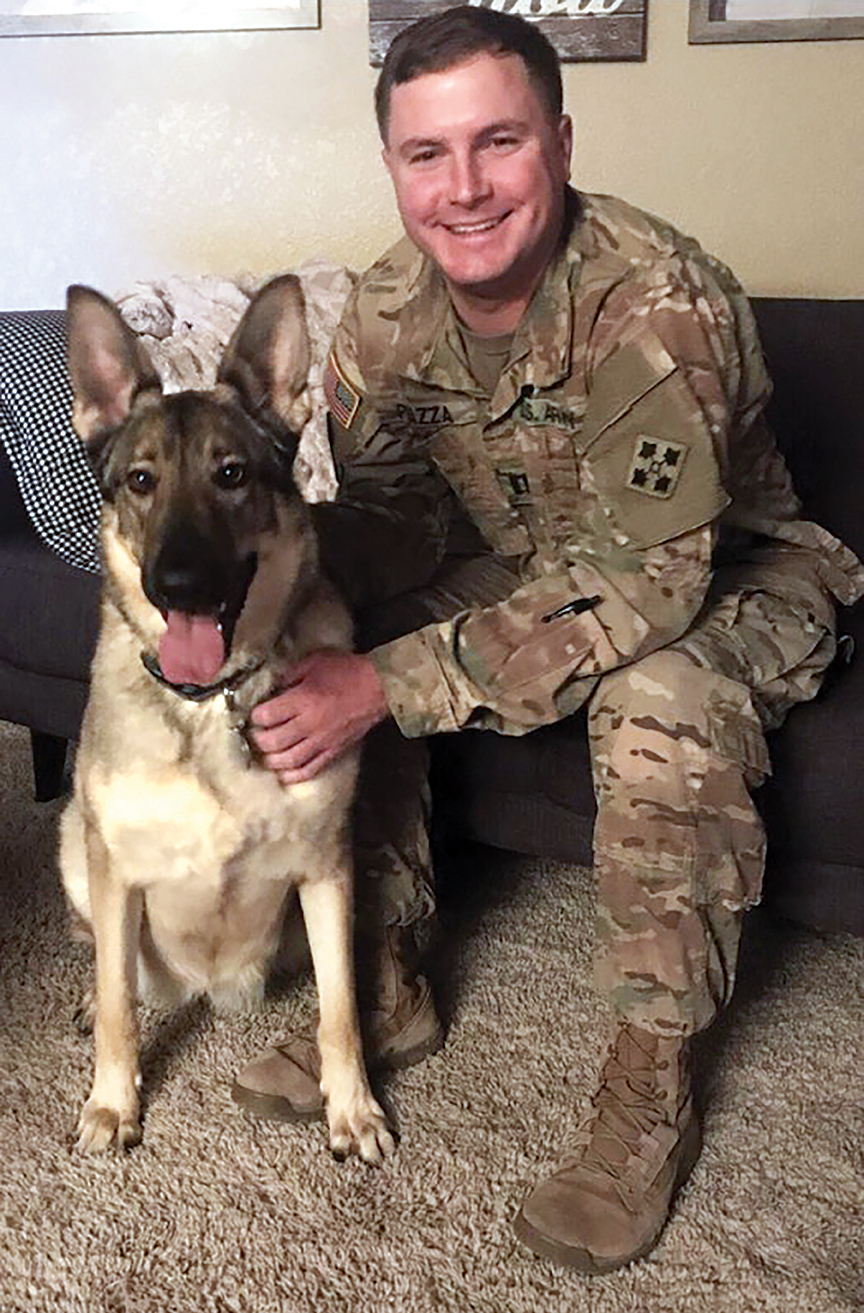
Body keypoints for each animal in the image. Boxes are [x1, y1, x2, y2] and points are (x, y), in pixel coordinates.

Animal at [59, 276, 394, 1164]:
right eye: (142, 481)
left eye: (233, 474)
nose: (178, 585)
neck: (210, 703)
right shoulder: (115, 870)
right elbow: (118, 1002)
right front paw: (114, 1102)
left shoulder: (328, 869)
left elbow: (341, 1009)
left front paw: (353, 1107)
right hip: (74, 839)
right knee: (108, 963)